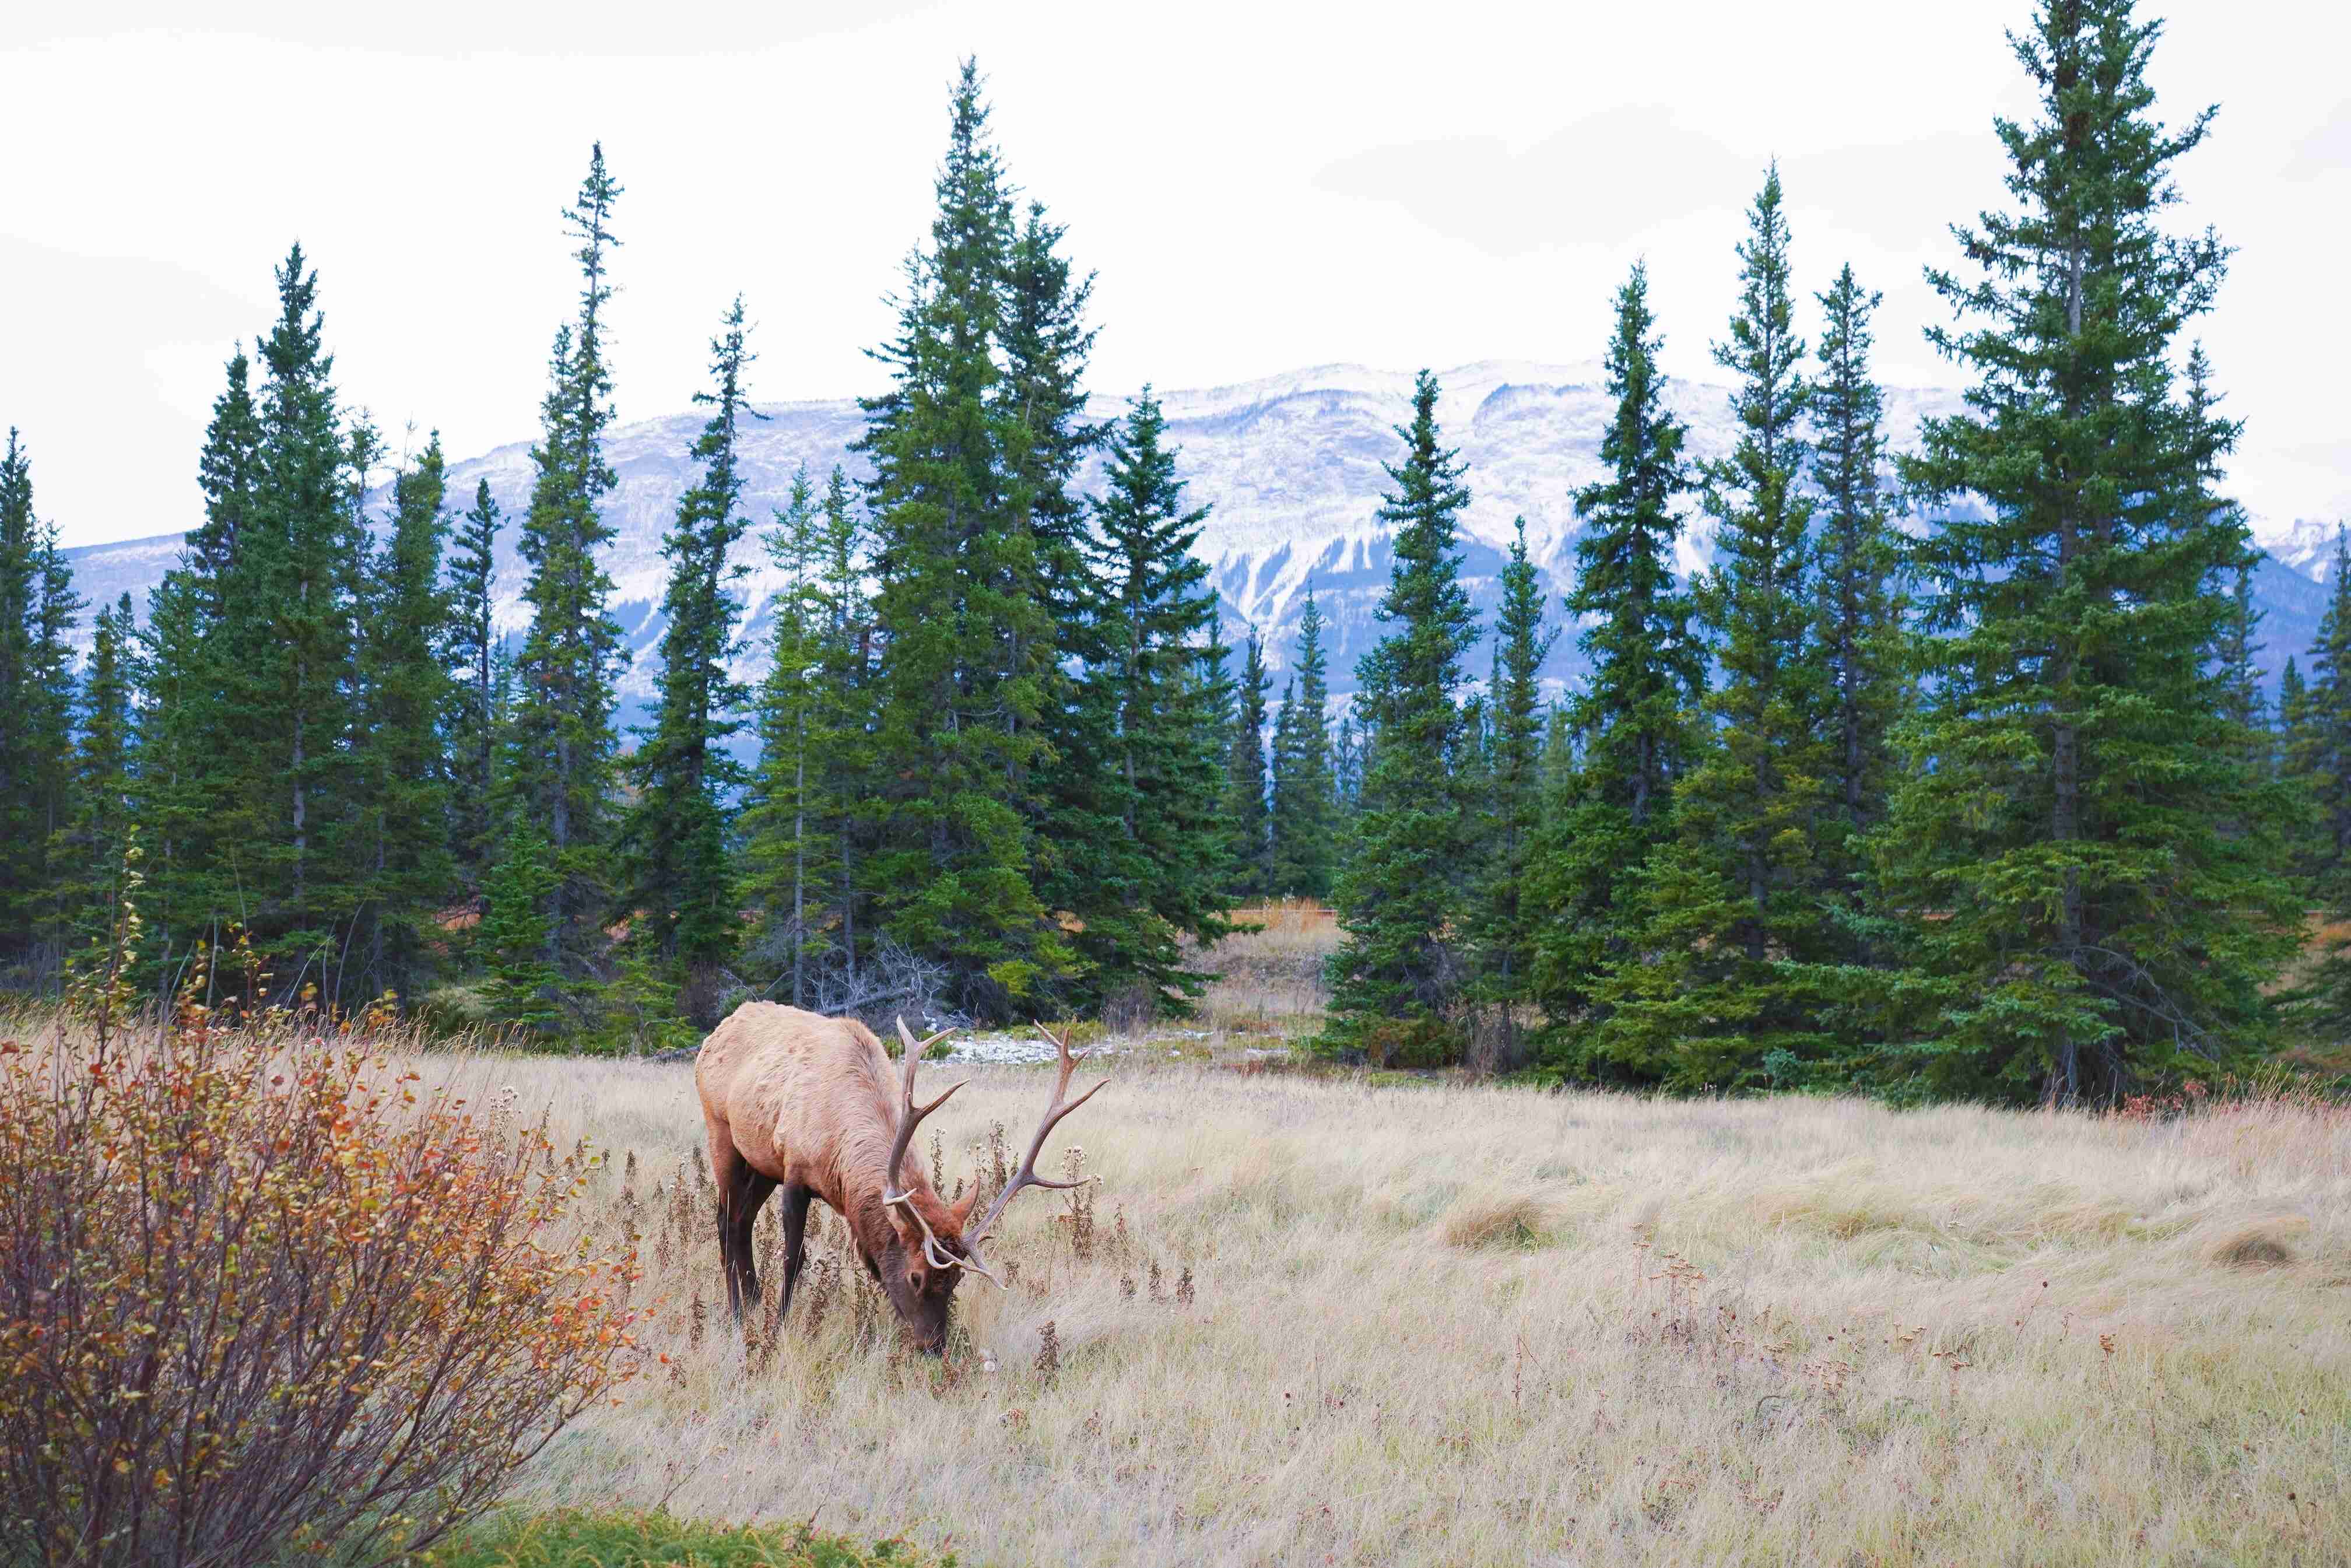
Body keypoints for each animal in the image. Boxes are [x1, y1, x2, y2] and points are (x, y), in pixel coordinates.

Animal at [692, 1002, 1108, 1356]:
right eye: (915, 1278)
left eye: (957, 1281)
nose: (935, 1347)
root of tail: (719, 1030)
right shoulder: (795, 1170)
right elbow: (793, 1258)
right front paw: (779, 1327)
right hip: (721, 1132)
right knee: (726, 1221)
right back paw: (738, 1313)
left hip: (761, 1164)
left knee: (743, 1221)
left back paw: (753, 1301)